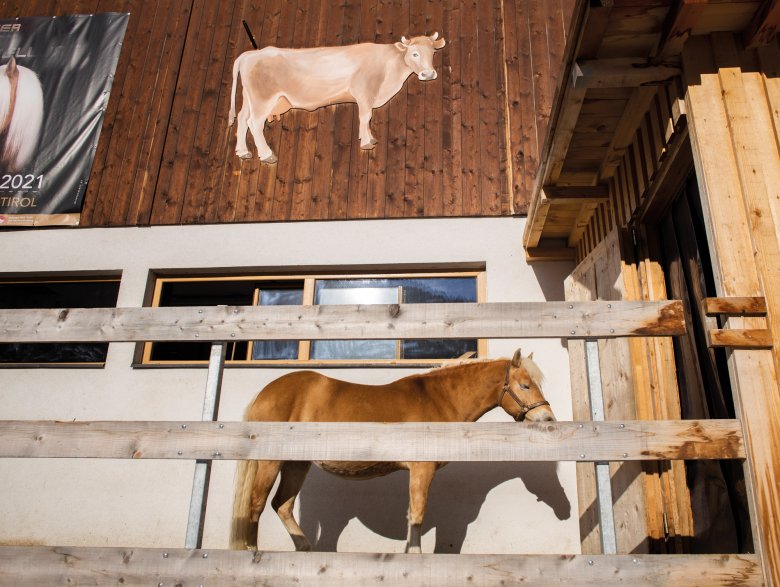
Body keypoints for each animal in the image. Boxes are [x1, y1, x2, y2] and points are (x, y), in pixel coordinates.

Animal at [232, 346, 556, 552]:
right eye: (525, 386)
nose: (548, 419)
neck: (437, 399)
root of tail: (265, 392)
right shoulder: (421, 469)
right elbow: (417, 515)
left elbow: (413, 516)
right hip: (270, 462)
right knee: (256, 504)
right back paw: (251, 551)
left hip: (296, 464)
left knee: (282, 505)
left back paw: (304, 547)